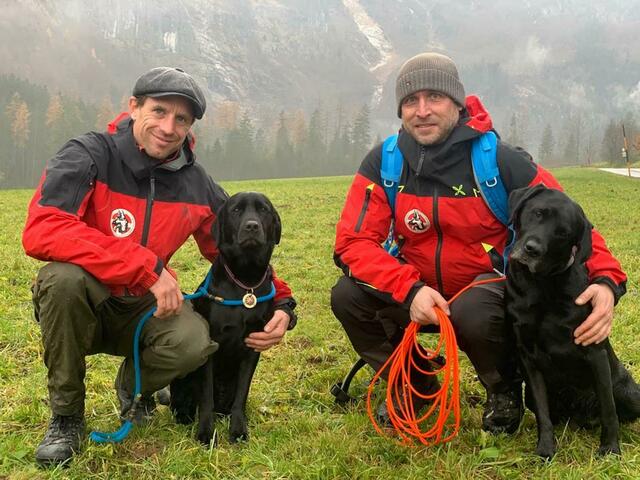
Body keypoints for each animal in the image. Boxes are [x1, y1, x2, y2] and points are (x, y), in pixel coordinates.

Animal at [171, 192, 282, 446]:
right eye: (236, 210)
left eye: (264, 210)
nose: (252, 226)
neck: (245, 282)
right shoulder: (211, 346)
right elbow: (206, 397)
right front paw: (205, 432)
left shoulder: (252, 347)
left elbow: (241, 395)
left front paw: (238, 429)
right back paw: (184, 416)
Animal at [504, 184, 640, 458]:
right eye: (538, 213)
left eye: (563, 233)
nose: (532, 249)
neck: (542, 286)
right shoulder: (528, 358)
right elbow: (543, 414)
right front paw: (545, 449)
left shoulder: (595, 352)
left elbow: (609, 410)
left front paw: (610, 448)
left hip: (630, 392)